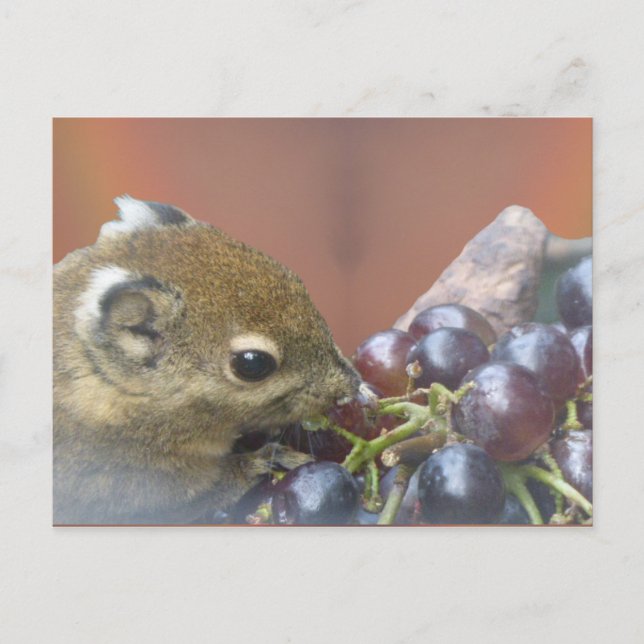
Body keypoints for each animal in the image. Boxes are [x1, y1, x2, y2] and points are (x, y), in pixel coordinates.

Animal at [54, 196, 361, 524]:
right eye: (252, 363)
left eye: (296, 281)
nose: (351, 386)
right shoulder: (132, 491)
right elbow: (206, 493)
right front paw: (266, 459)